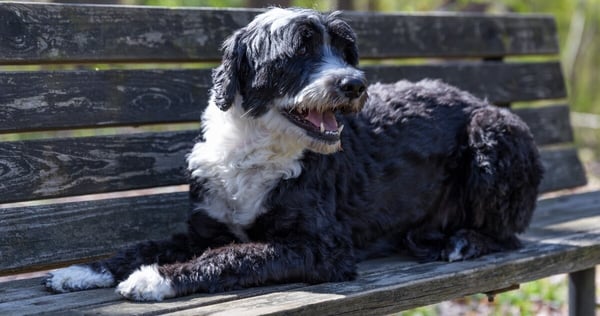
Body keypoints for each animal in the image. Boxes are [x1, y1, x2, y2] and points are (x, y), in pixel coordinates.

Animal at [44, 8, 544, 302]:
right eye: (299, 49)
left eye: (344, 49)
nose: (355, 84)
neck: (256, 147)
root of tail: (476, 99)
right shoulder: (202, 227)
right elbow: (144, 245)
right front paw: (85, 270)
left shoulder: (321, 247)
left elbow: (237, 255)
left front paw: (155, 278)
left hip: (493, 134)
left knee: (508, 235)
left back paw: (464, 241)